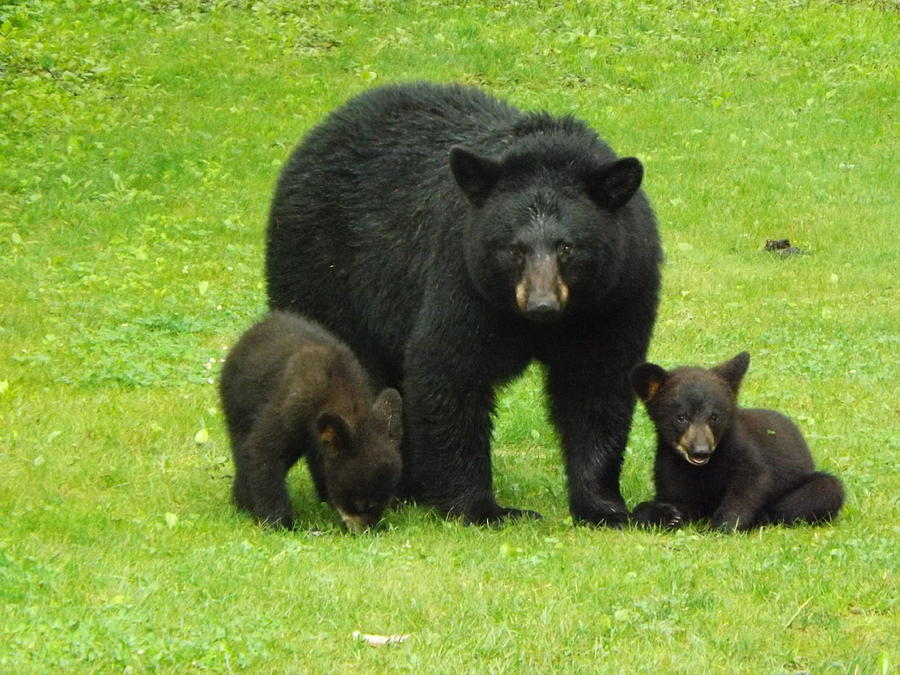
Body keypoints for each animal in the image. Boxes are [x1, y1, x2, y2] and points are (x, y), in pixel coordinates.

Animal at [220, 312, 402, 532]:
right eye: (361, 504)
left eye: (383, 502)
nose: (366, 532)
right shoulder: (293, 405)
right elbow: (263, 450)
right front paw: (277, 522)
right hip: (236, 404)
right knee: (242, 447)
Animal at [268, 83, 660, 528]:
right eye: (514, 249)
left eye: (567, 247)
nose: (541, 305)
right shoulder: (463, 277)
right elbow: (448, 368)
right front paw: (483, 509)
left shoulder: (616, 294)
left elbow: (598, 385)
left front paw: (605, 507)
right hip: (322, 273)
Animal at [624, 352, 844, 532]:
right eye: (681, 418)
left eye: (714, 417)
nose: (700, 451)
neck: (701, 469)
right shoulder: (671, 469)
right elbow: (671, 500)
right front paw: (667, 515)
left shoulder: (741, 451)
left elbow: (751, 483)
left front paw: (721, 527)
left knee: (825, 489)